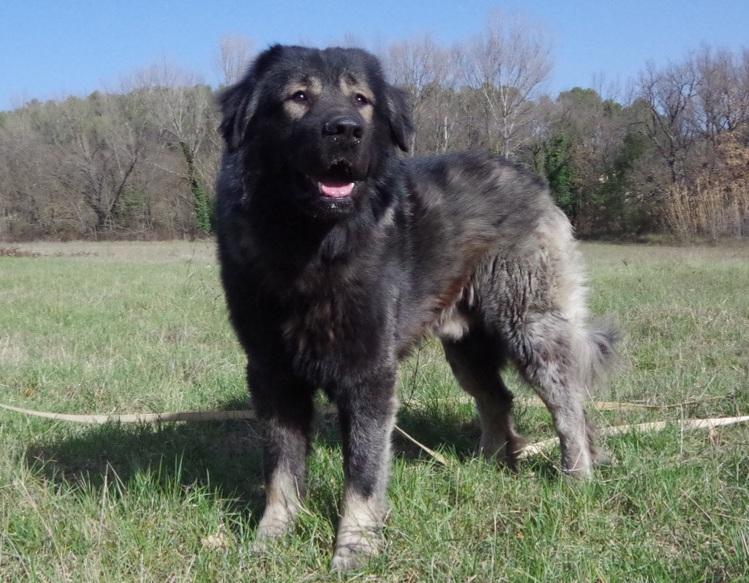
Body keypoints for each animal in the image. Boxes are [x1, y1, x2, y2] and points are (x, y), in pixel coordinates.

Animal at [213, 44, 616, 572]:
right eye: (298, 97)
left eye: (361, 100)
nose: (346, 130)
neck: (310, 245)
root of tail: (533, 180)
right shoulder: (271, 371)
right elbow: (281, 470)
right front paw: (272, 539)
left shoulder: (369, 374)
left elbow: (362, 472)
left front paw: (355, 547)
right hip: (467, 350)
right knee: (499, 399)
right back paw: (487, 465)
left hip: (530, 329)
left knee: (568, 406)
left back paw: (576, 478)